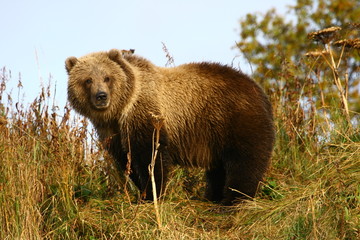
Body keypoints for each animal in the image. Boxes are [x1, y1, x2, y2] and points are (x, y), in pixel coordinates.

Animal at [64, 48, 274, 204]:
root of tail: (259, 90)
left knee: (245, 161)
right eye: (88, 80)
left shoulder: (146, 116)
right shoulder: (112, 132)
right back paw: (212, 197)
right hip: (216, 133)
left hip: (235, 119)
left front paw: (151, 195)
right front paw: (141, 191)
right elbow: (127, 160)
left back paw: (234, 199)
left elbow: (150, 158)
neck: (120, 111)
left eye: (107, 77)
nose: (101, 96)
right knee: (219, 169)